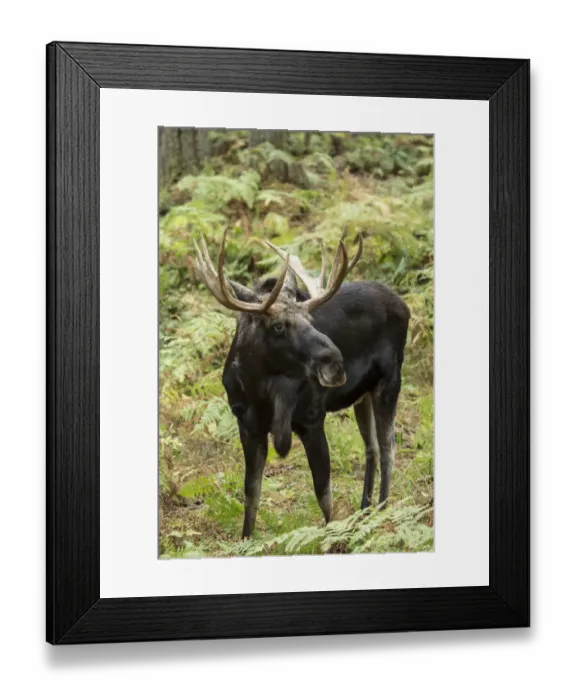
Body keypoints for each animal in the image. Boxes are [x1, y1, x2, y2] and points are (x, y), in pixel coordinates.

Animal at [192, 232, 410, 538]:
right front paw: (246, 540)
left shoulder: (311, 419)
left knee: (389, 447)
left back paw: (382, 511)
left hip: (390, 381)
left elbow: (324, 493)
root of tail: (404, 304)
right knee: (373, 448)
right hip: (362, 394)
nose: (335, 362)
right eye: (278, 326)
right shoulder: (247, 426)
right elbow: (251, 494)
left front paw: (332, 537)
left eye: (310, 320)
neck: (260, 392)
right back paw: (364, 510)